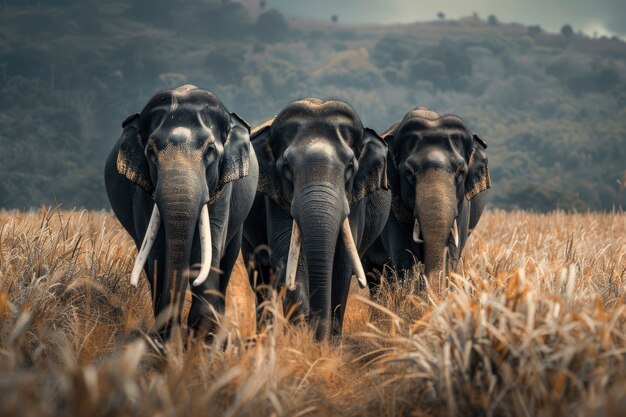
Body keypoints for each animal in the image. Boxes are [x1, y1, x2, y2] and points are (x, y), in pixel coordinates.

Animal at [103, 84, 258, 342]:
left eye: (210, 150)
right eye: (151, 152)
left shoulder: (223, 190)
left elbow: (210, 247)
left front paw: (203, 337)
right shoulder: (144, 192)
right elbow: (157, 252)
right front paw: (164, 341)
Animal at [240, 99, 390, 340]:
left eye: (350, 167)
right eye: (287, 168)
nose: (318, 334)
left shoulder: (355, 198)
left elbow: (342, 262)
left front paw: (329, 341)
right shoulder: (276, 196)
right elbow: (288, 257)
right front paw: (302, 338)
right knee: (261, 280)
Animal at [364, 107, 490, 294]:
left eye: (460, 171)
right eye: (409, 173)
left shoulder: (463, 205)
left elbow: (452, 252)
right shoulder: (392, 204)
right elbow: (404, 258)